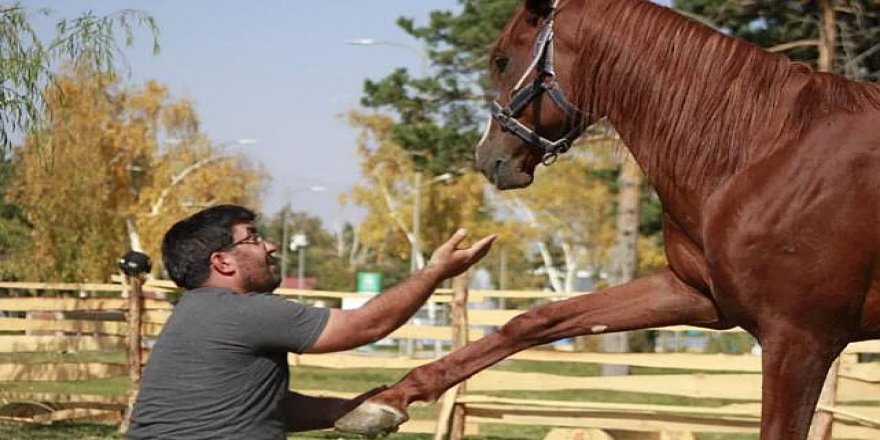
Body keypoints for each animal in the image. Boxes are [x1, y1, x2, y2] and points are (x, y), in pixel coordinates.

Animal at [334, 0, 880, 436]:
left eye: (502, 59)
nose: (489, 157)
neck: (766, 152)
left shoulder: (798, 342)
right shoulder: (695, 295)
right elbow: (537, 320)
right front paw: (385, 400)